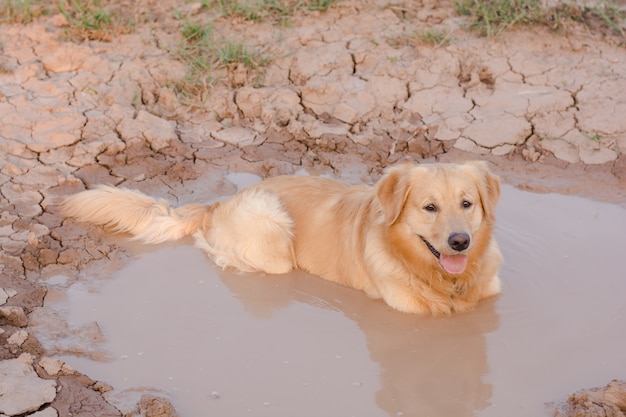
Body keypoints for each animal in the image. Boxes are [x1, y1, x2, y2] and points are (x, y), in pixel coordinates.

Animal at [62, 161, 502, 314]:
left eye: (466, 203)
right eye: (429, 207)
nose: (460, 241)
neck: (446, 282)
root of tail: (219, 202)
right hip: (271, 231)